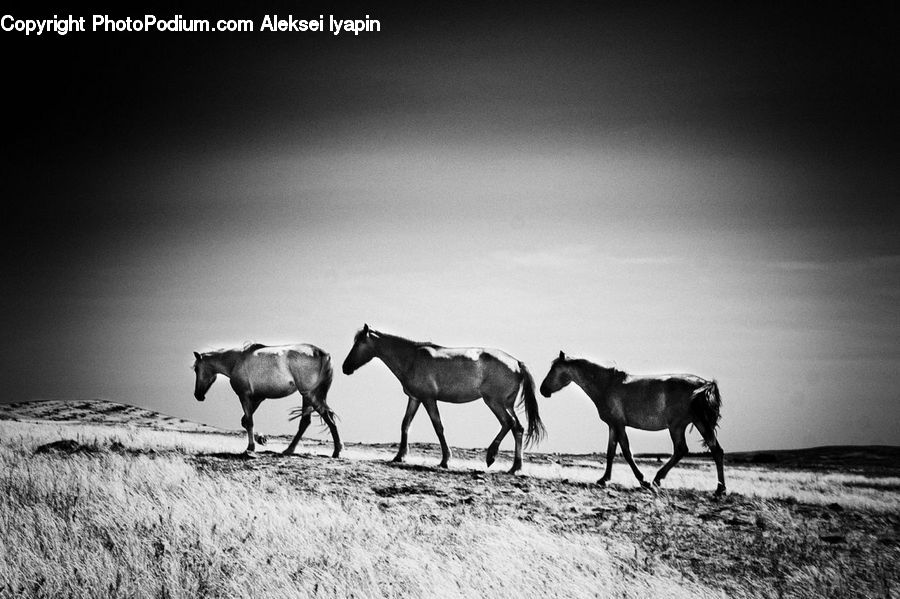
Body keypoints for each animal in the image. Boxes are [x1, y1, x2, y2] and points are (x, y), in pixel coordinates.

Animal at [192, 342, 341, 457]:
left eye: (196, 369)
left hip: (310, 395)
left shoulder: (244, 396)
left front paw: (251, 447)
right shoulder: (259, 398)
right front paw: (261, 439)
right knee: (306, 421)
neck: (236, 360)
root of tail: (322, 353)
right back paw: (290, 450)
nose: (198, 395)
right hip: (307, 396)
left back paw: (336, 451)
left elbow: (249, 422)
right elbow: (245, 421)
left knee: (327, 417)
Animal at [341, 324, 546, 473]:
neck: (411, 358)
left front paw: (445, 460)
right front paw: (400, 456)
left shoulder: (429, 399)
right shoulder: (415, 399)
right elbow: (405, 424)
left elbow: (438, 427)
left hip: (494, 402)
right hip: (505, 404)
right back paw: (515, 467)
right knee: (517, 428)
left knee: (508, 423)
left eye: (358, 344)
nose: (345, 367)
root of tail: (516, 363)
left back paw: (492, 456)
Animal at [539, 351, 725, 495]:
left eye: (553, 369)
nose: (542, 390)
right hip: (696, 423)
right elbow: (610, 453)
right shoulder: (613, 426)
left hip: (678, 426)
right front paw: (603, 479)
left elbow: (627, 452)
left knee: (683, 449)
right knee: (714, 450)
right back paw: (719, 489)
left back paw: (658, 480)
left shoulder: (619, 425)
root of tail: (704, 384)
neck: (606, 385)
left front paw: (643, 480)